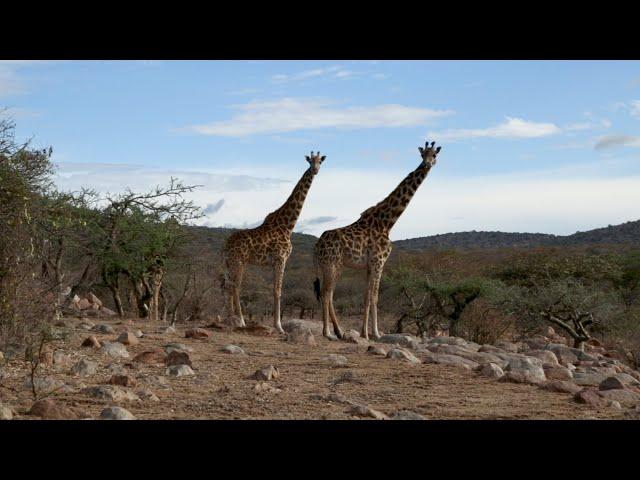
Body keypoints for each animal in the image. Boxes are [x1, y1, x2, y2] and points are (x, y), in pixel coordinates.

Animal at [224, 152, 324, 332]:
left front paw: (277, 325)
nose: (315, 170)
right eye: (310, 161)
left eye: (320, 161)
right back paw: (240, 321)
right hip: (238, 261)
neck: (288, 225)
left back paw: (230, 320)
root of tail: (225, 245)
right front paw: (279, 326)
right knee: (235, 286)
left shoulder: (275, 261)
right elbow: (278, 290)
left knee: (227, 286)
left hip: (230, 263)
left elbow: (275, 290)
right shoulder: (280, 258)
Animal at [314, 141, 440, 340]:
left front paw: (365, 333)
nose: (427, 164)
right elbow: (375, 297)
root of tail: (317, 246)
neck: (387, 222)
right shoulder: (378, 261)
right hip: (331, 264)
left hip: (331, 265)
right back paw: (328, 332)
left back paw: (338, 331)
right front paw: (375, 333)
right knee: (326, 293)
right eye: (423, 155)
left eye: (434, 155)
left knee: (329, 293)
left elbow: (367, 296)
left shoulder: (369, 265)